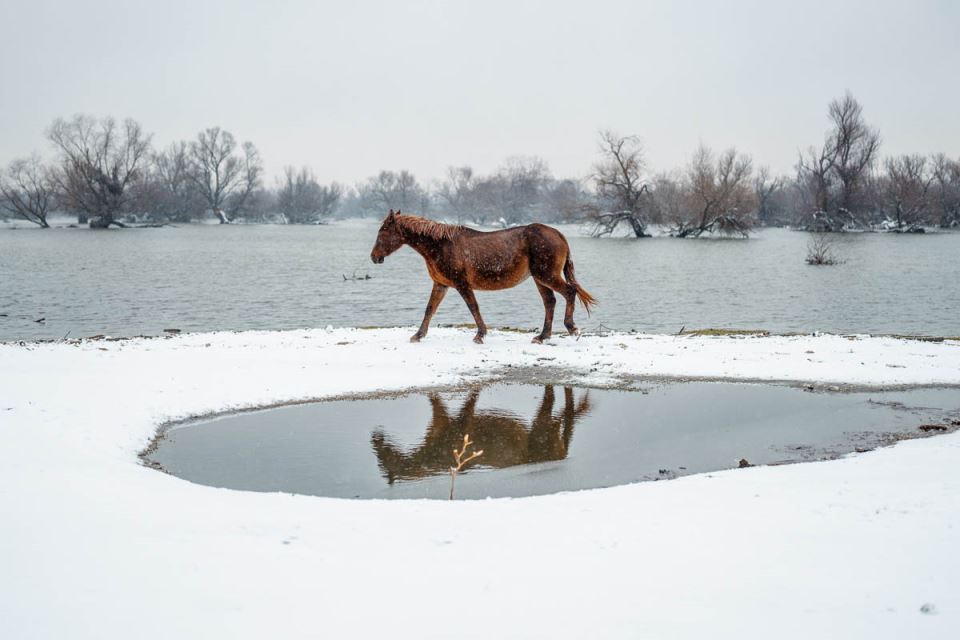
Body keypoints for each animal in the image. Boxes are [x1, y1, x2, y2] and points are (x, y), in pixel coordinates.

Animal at [368, 210, 592, 342]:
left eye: (383, 231)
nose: (374, 257)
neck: (440, 245)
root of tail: (559, 234)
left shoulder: (461, 284)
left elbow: (473, 307)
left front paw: (480, 334)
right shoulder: (441, 284)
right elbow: (429, 309)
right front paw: (418, 335)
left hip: (546, 276)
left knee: (569, 292)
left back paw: (572, 328)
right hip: (540, 279)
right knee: (550, 302)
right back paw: (543, 336)